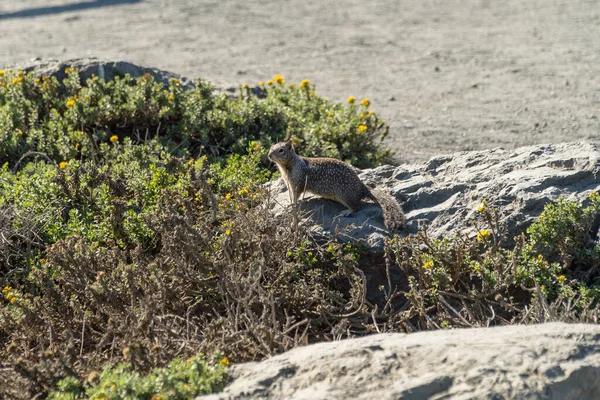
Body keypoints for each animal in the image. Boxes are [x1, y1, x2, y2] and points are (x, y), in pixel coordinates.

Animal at [268, 141, 404, 230]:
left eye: (281, 150)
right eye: (271, 147)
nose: (269, 155)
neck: (290, 165)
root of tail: (363, 188)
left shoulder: (297, 183)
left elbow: (296, 196)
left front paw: (293, 204)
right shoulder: (289, 184)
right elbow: (291, 195)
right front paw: (290, 202)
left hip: (344, 195)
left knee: (357, 206)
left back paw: (346, 212)